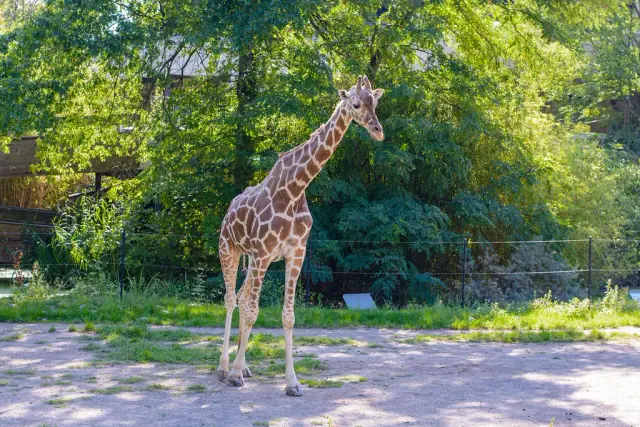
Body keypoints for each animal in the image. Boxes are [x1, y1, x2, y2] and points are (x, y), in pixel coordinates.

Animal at [217, 75, 384, 396]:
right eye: (357, 104)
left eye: (376, 103)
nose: (378, 131)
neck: (295, 190)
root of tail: (228, 210)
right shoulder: (263, 253)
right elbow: (252, 311)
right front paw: (234, 375)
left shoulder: (295, 254)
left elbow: (288, 316)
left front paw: (292, 383)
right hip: (229, 250)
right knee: (231, 300)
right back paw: (223, 368)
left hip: (253, 260)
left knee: (241, 297)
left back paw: (244, 367)